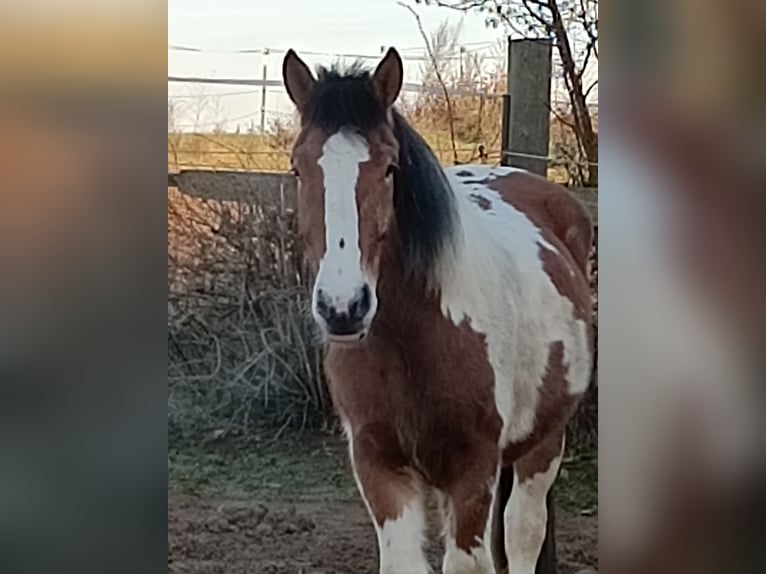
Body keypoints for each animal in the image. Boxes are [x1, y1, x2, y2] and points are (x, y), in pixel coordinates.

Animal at [282, 47, 594, 574]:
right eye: (298, 169)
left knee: (523, 532)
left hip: (545, 440)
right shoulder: (378, 463)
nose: (343, 308)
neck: (412, 341)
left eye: (390, 168)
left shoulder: (472, 467)